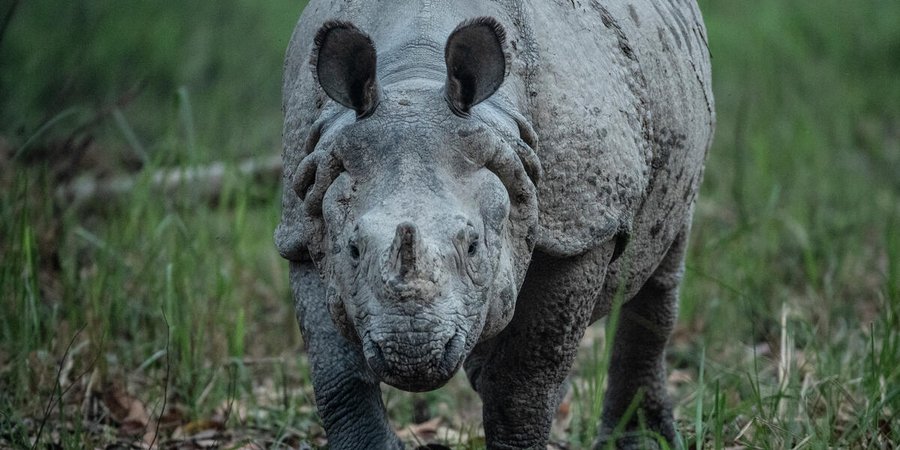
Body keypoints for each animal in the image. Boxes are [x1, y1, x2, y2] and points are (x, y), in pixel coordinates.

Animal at [275, 0, 714, 448]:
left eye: (472, 246)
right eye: (353, 249)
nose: (412, 354)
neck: (415, 77)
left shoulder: (581, 229)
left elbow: (526, 377)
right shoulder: (305, 211)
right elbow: (338, 373)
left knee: (663, 260)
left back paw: (644, 439)